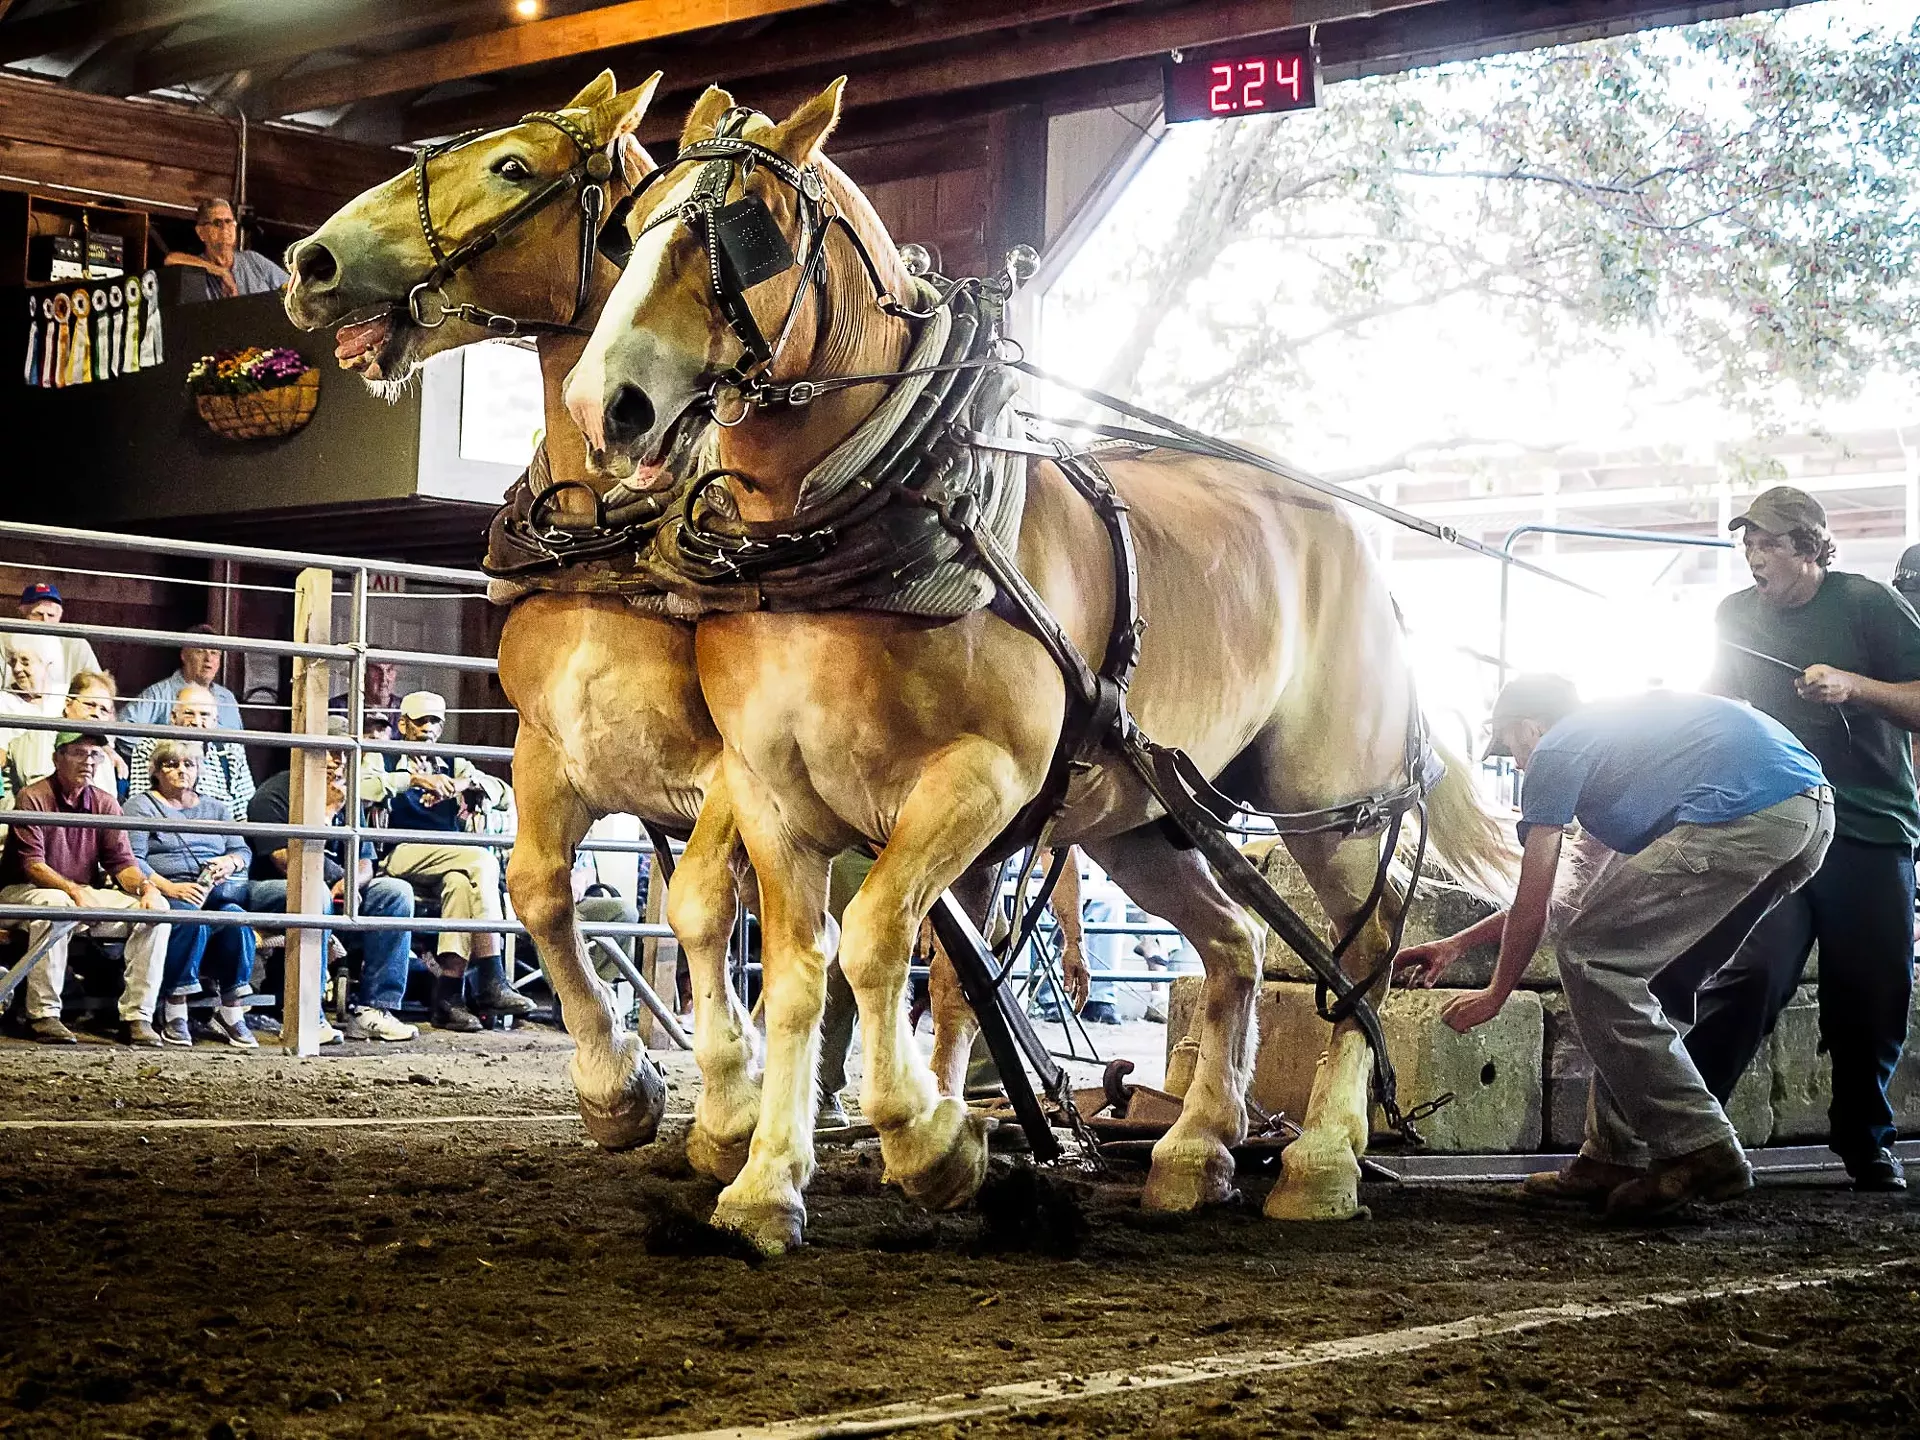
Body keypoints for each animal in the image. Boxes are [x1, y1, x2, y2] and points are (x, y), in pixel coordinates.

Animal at [564, 80, 1516, 1255]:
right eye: (632, 226)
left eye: (742, 230)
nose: (604, 405)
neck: (862, 525)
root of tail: (1352, 533)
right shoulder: (771, 792)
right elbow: (798, 977)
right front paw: (766, 1184)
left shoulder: (982, 779)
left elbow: (876, 943)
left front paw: (934, 1143)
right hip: (1142, 820)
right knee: (1239, 946)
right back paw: (1195, 1153)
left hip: (1329, 803)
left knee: (1361, 950)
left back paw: (1321, 1162)